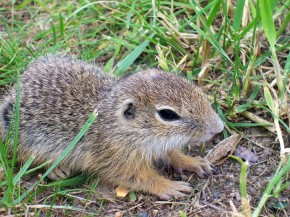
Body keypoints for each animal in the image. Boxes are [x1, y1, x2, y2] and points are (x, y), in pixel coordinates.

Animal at [0, 55, 224, 199]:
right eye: (168, 114)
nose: (219, 127)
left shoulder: (159, 146)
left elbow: (172, 155)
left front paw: (193, 162)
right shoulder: (115, 159)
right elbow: (136, 177)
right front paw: (169, 186)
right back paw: (57, 170)